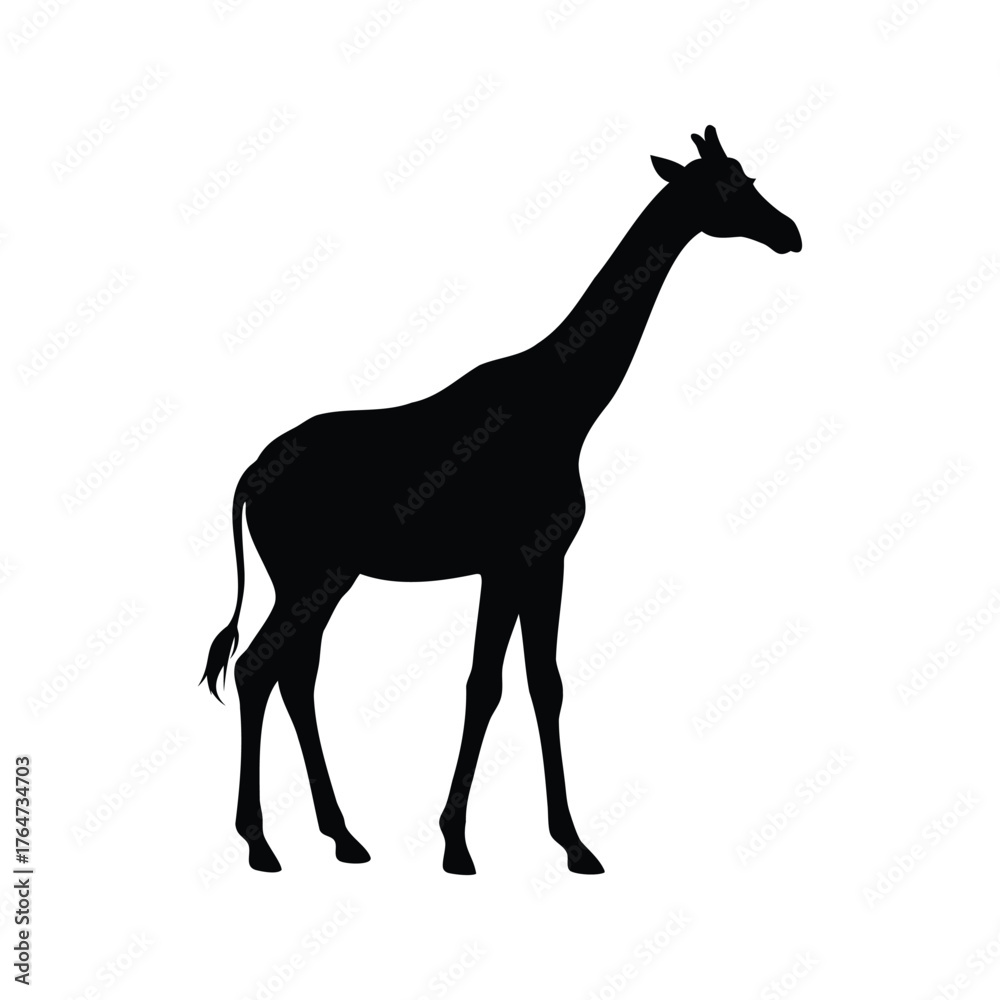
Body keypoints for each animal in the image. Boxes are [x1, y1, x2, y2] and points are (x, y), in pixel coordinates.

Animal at [202, 125, 802, 875]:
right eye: (724, 189)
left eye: (747, 178)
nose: (790, 233)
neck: (568, 405)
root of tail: (249, 475)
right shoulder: (508, 561)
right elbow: (485, 685)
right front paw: (458, 844)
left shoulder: (544, 560)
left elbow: (544, 684)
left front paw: (572, 843)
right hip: (310, 574)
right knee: (259, 668)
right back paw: (261, 844)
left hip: (323, 577)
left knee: (292, 675)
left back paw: (342, 837)